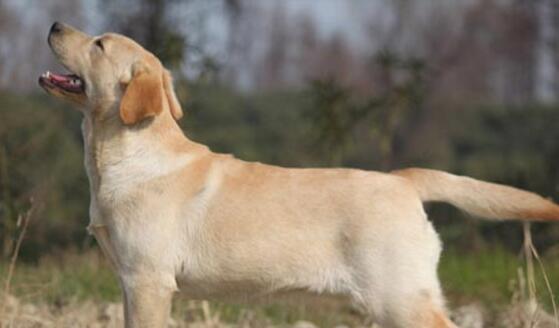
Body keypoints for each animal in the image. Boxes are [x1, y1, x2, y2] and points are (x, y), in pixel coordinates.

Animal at [39, 21, 559, 326]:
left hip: (400, 297)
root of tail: (404, 178)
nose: (54, 23)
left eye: (99, 44)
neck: (124, 154)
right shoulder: (130, 283)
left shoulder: (149, 281)